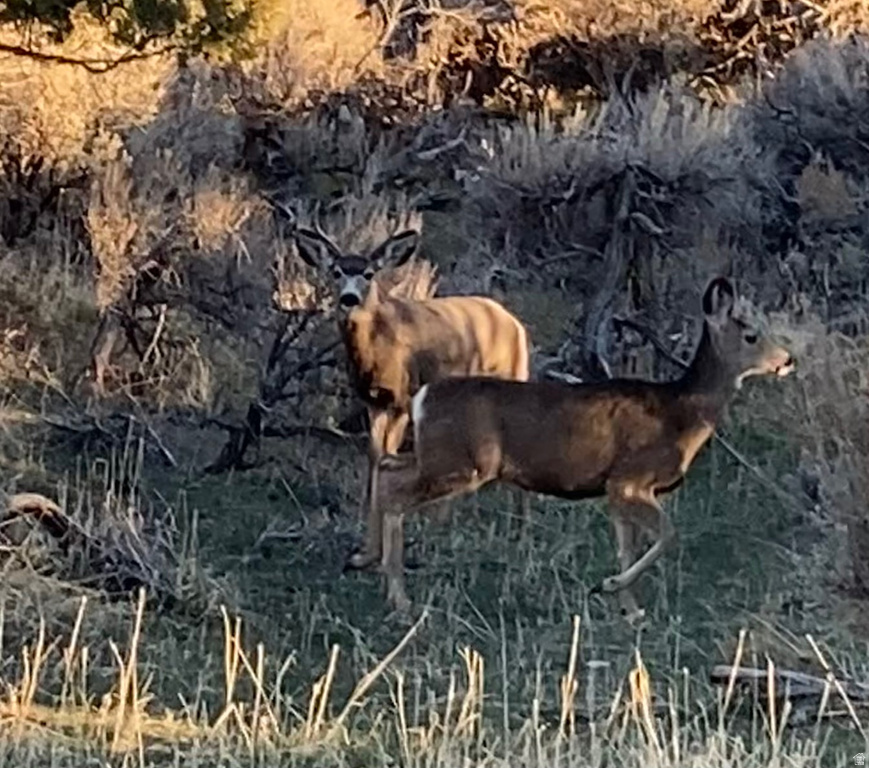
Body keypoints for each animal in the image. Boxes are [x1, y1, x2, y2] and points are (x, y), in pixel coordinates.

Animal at [292, 224, 531, 572]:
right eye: (336, 271)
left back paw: (520, 529)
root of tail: (513, 322)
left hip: (515, 373)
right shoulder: (374, 402)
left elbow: (388, 458)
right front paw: (365, 554)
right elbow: (375, 458)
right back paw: (445, 523)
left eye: (368, 273)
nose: (349, 299)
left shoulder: (404, 397)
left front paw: (379, 554)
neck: (377, 347)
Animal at [371, 277, 796, 622]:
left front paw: (630, 609)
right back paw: (400, 599)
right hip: (464, 463)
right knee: (394, 495)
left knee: (388, 469)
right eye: (751, 335)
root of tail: (422, 397)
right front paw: (610, 586)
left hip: (438, 458)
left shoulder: (616, 490)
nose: (788, 360)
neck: (680, 413)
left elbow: (627, 547)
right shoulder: (631, 477)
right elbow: (668, 535)